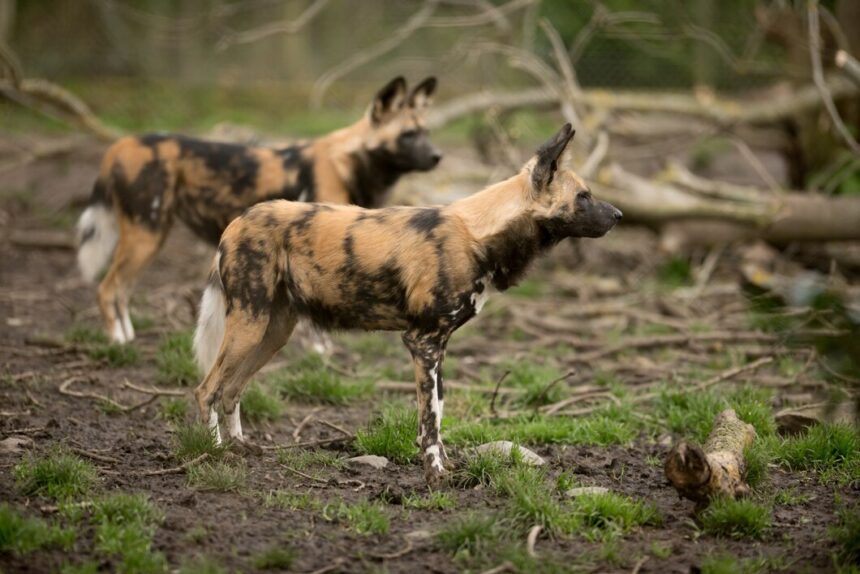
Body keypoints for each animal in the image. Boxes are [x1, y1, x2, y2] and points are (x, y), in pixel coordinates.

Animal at [74, 76, 440, 346]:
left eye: (426, 132)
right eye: (408, 135)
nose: (438, 157)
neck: (352, 162)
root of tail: (122, 143)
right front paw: (320, 350)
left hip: (151, 237)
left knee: (121, 290)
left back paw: (128, 337)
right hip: (145, 236)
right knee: (107, 288)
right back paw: (118, 342)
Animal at [192, 125, 620, 486]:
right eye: (584, 197)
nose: (618, 215)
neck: (481, 235)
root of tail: (238, 221)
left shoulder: (438, 347)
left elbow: (439, 412)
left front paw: (447, 466)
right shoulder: (422, 342)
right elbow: (429, 420)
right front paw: (435, 476)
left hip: (272, 332)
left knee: (231, 390)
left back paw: (239, 446)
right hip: (249, 324)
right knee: (206, 389)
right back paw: (212, 452)